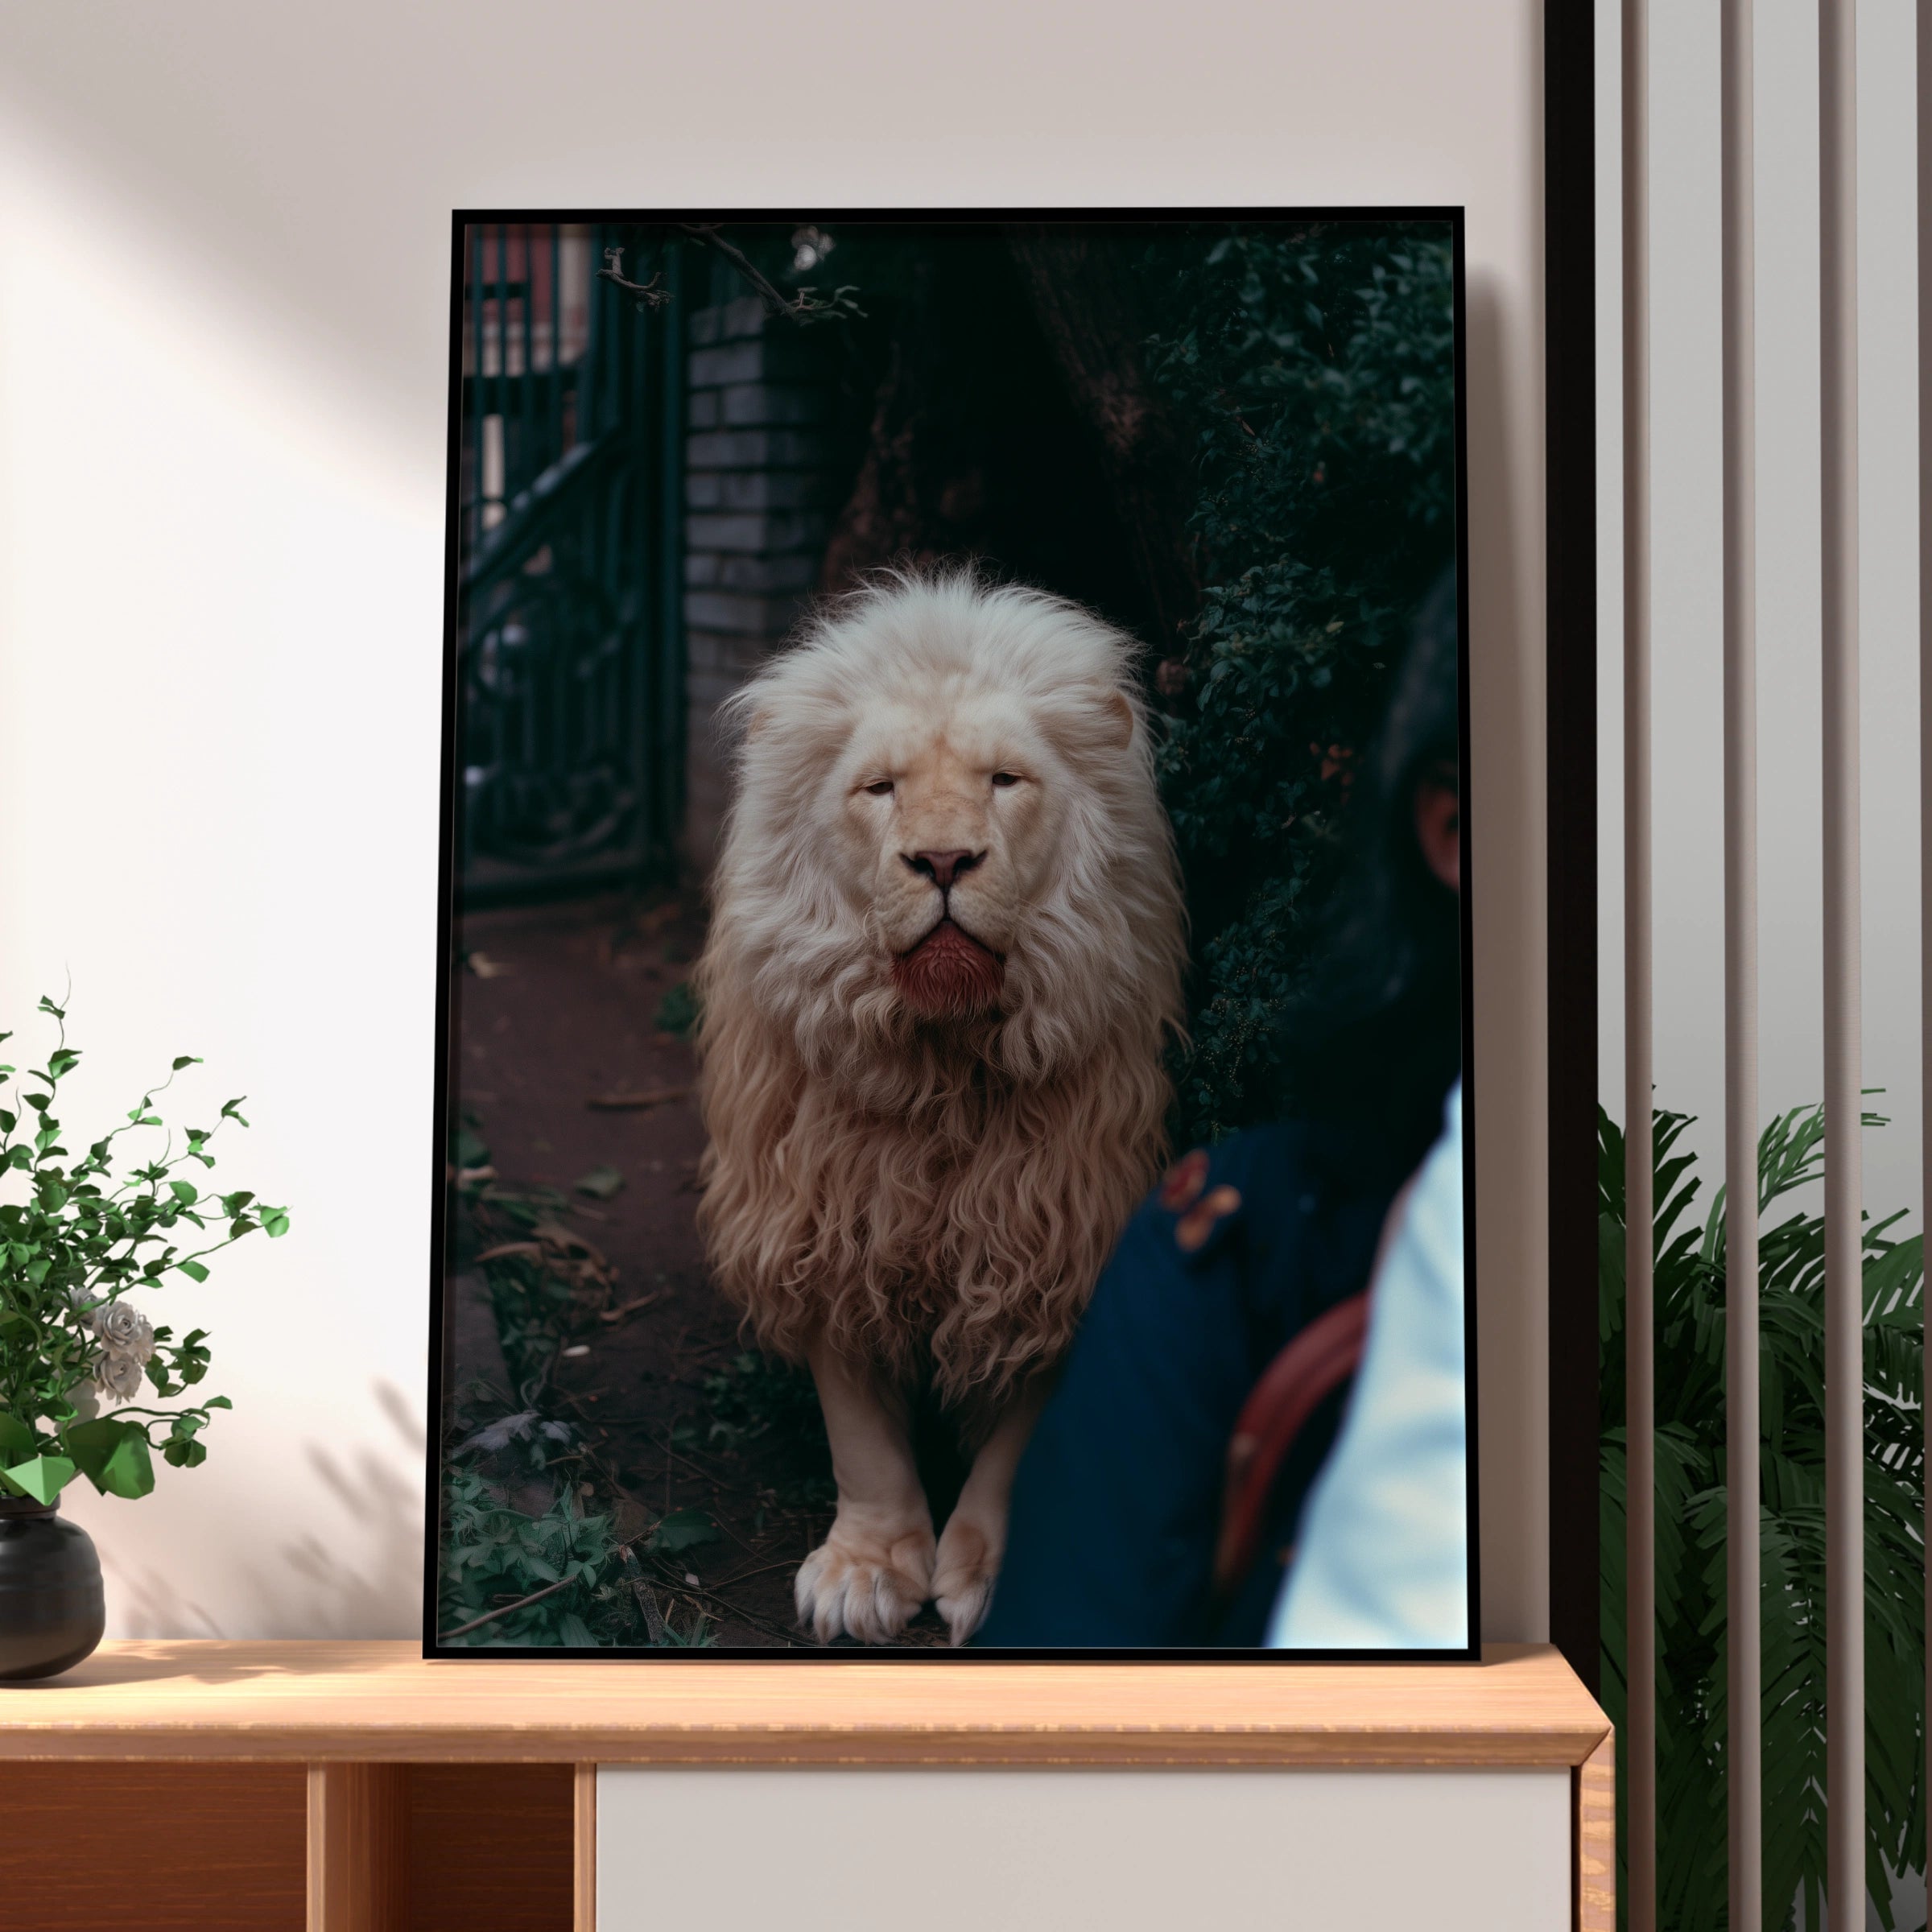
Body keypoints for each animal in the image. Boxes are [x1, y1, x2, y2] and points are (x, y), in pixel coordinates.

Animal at [694, 571, 1185, 1644]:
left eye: (1005, 780)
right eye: (879, 788)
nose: (946, 861)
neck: (944, 1070)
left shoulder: (1055, 1227)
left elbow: (1026, 1433)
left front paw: (995, 1573)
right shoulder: (825, 1210)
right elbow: (861, 1435)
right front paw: (867, 1570)